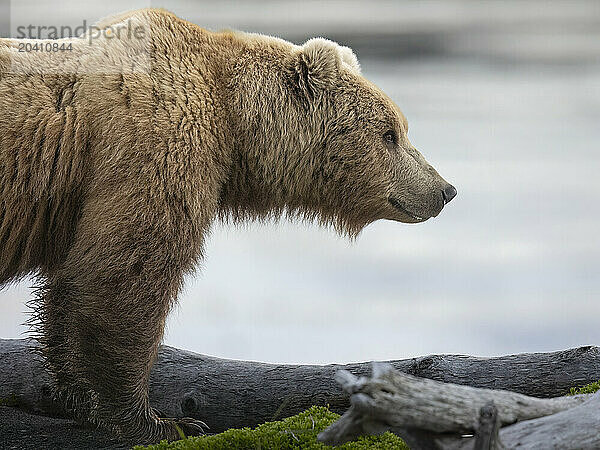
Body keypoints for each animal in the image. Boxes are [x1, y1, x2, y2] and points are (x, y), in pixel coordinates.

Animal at [0, 7, 454, 442]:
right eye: (390, 134)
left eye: (402, 129)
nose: (445, 189)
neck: (235, 127)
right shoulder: (156, 146)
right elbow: (124, 275)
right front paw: (158, 421)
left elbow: (74, 286)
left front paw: (78, 396)